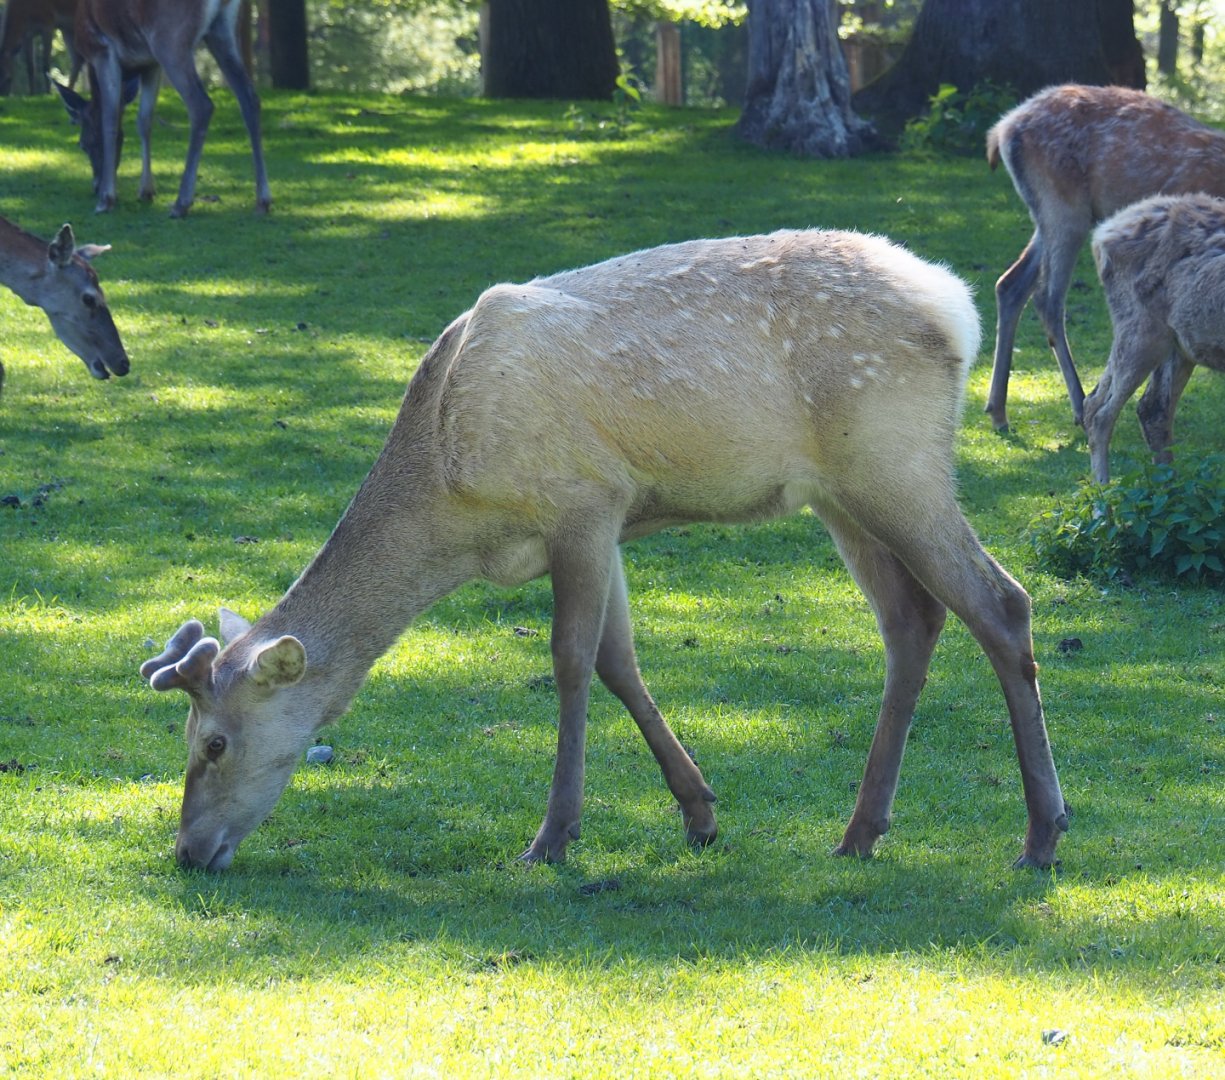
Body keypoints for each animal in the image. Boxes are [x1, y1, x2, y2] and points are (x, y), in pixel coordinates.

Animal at [56, 0, 270, 218]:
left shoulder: (102, 51)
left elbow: (109, 118)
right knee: (250, 98)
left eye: (83, 145)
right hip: (223, 32)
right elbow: (144, 121)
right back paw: (263, 201)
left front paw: (106, 200)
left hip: (169, 40)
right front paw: (146, 191)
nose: (96, 186)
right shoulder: (150, 64)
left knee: (201, 105)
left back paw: (181, 203)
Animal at [141, 229, 1069, 876]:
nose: (188, 852)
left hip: (893, 462)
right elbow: (621, 660)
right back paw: (860, 830)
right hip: (839, 494)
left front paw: (553, 836)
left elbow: (571, 660)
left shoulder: (579, 502)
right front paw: (699, 812)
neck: (454, 504)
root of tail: (954, 308)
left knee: (1000, 603)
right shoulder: (611, 518)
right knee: (911, 620)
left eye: (212, 743)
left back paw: (1040, 833)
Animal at [985, 83, 1225, 432]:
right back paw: (1078, 405)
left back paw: (998, 411)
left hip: (1054, 214)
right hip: (1064, 207)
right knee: (1047, 298)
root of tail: (1002, 129)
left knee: (1011, 283)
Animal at [1082, 193, 1225, 483]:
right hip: (1141, 332)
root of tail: (1100, 236)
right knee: (1102, 414)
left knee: (1149, 408)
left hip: (1175, 344)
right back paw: (1103, 493)